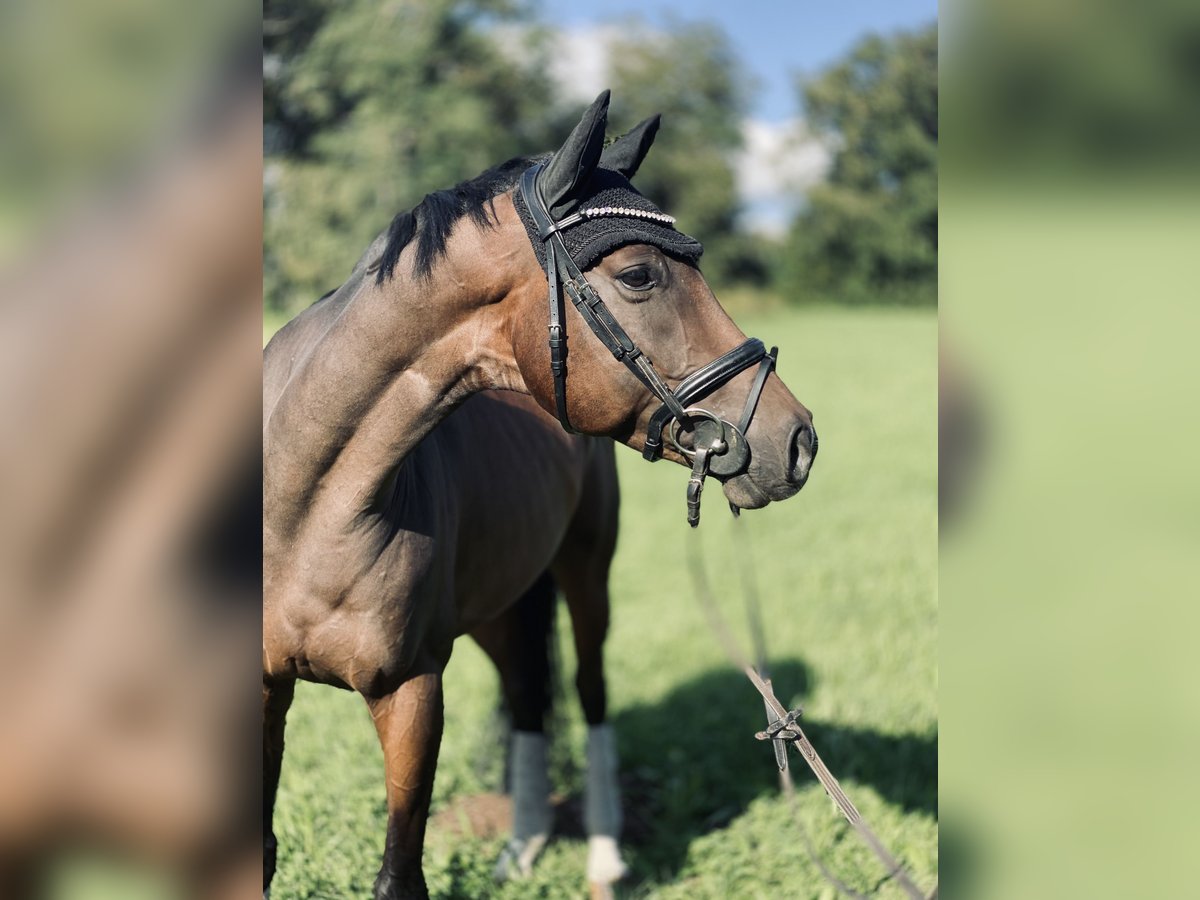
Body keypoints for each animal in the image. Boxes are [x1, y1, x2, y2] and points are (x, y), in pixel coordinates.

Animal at [264, 93, 820, 900]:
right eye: (640, 275)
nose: (798, 440)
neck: (303, 505)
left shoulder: (412, 691)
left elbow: (400, 875)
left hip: (585, 574)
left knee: (589, 693)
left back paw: (603, 859)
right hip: (500, 604)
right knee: (528, 695)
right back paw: (520, 847)